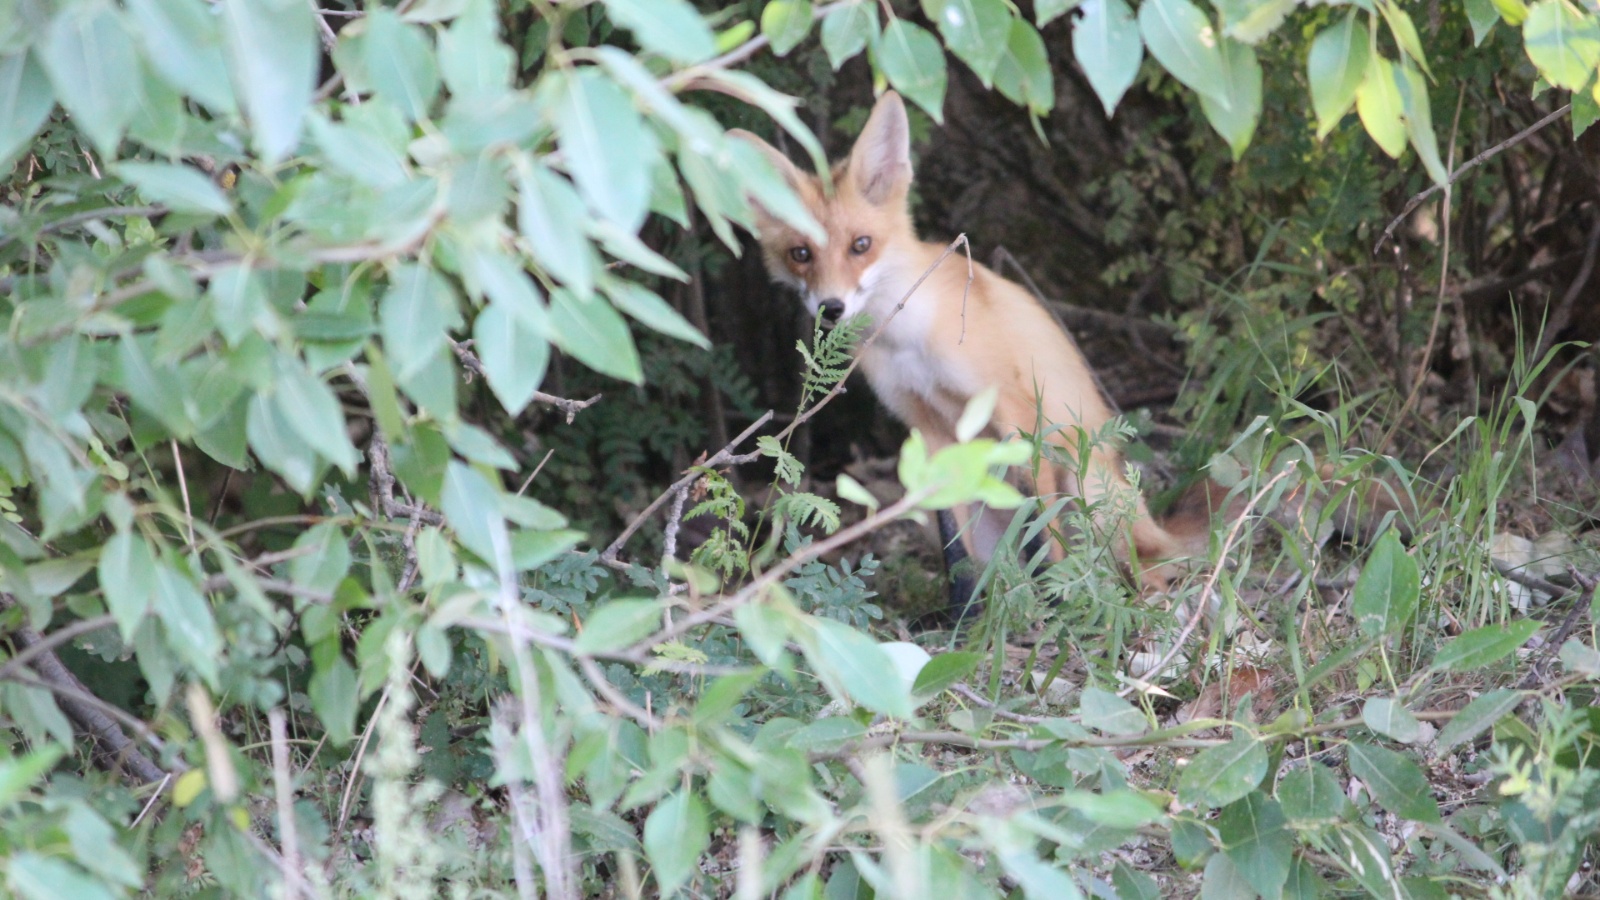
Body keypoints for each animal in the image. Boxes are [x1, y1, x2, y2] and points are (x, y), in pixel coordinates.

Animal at [732, 91, 1203, 605]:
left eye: (861, 245)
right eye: (801, 254)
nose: (830, 307)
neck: (912, 342)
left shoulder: (1016, 414)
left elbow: (1041, 532)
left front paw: (1054, 604)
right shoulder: (927, 429)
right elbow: (955, 554)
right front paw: (964, 620)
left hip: (1092, 491)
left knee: (1142, 566)